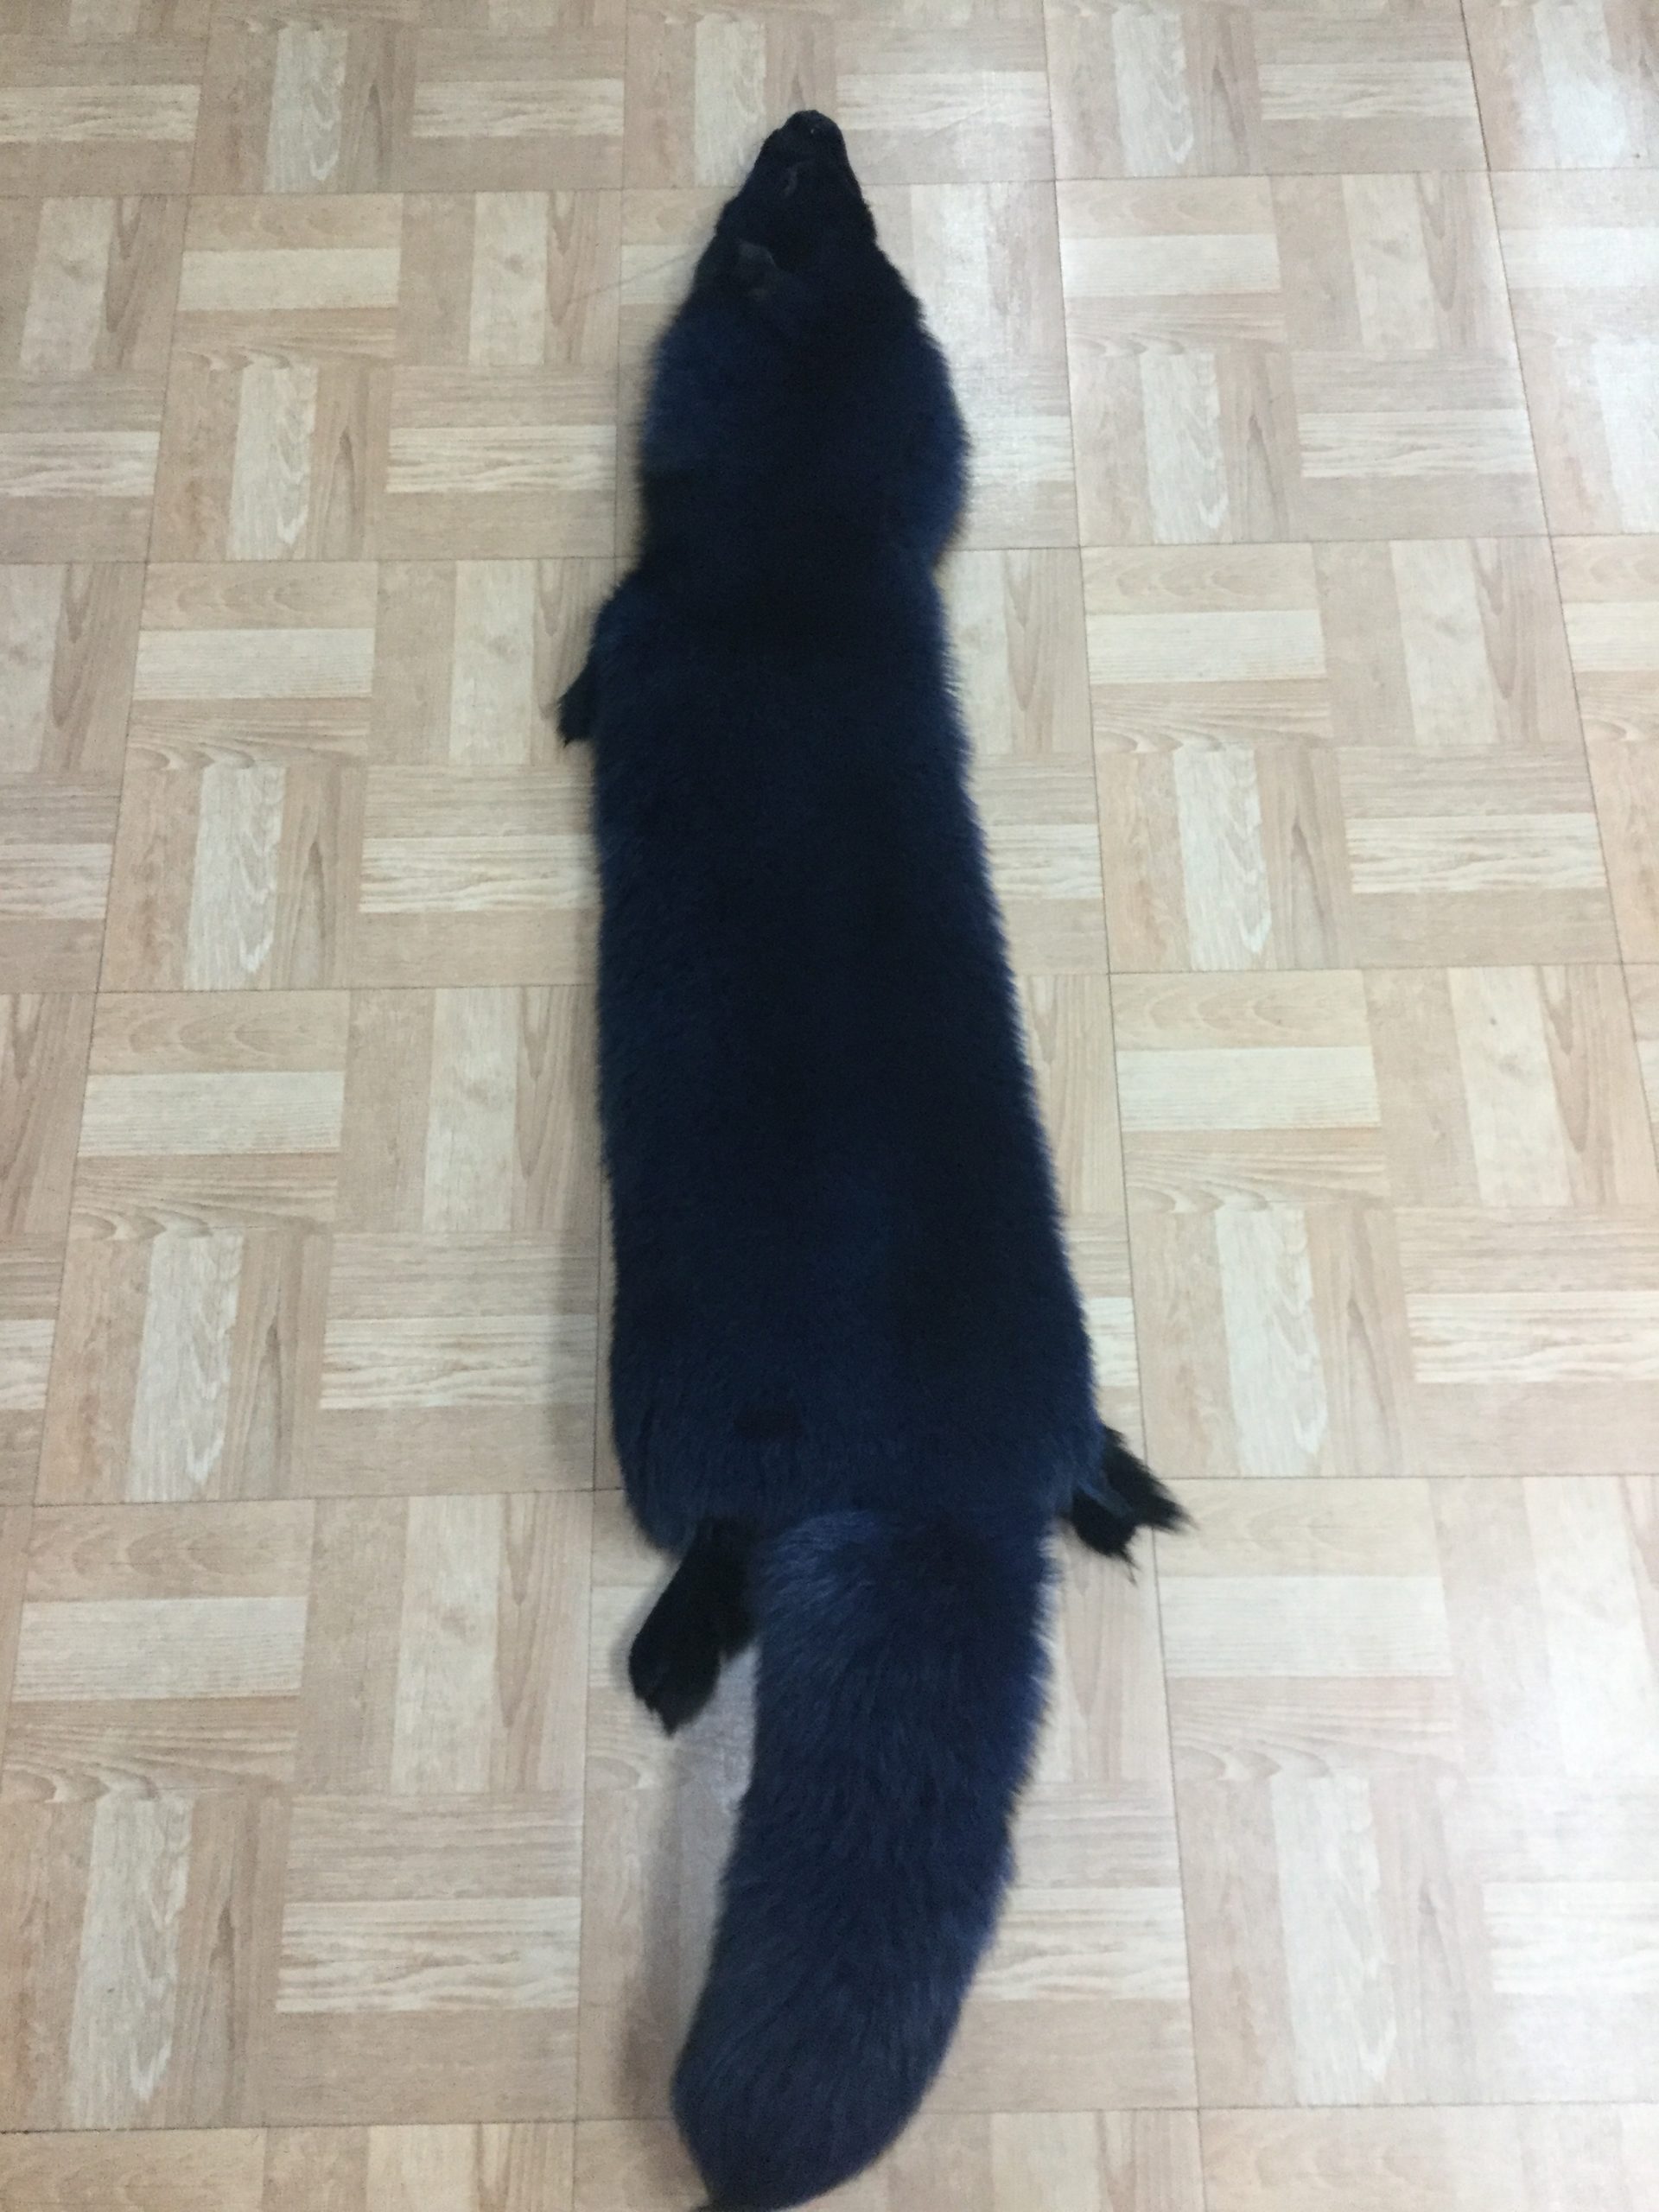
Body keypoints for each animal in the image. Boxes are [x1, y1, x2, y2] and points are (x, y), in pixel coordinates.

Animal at [560, 111, 1183, 2212]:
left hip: (664, 1424)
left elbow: (593, 647)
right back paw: (1128, 1499)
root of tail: (922, 1498)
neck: (801, 571)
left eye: (780, 217)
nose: (811, 117)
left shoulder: (641, 609)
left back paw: (674, 1661)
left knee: (711, 1558)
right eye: (842, 210)